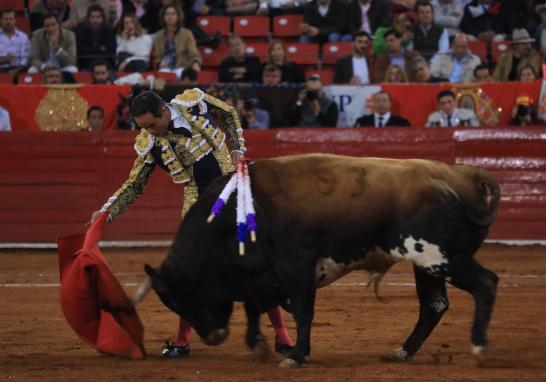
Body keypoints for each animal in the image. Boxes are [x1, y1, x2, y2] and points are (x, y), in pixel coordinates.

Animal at [135, 154, 498, 368]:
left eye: (180, 298)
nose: (213, 337)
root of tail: (465, 175)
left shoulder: (296, 267)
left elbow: (301, 311)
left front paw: (296, 356)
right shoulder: (261, 275)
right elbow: (256, 306)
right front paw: (258, 344)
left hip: (439, 256)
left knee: (486, 284)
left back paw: (480, 348)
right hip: (427, 263)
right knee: (434, 306)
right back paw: (403, 352)